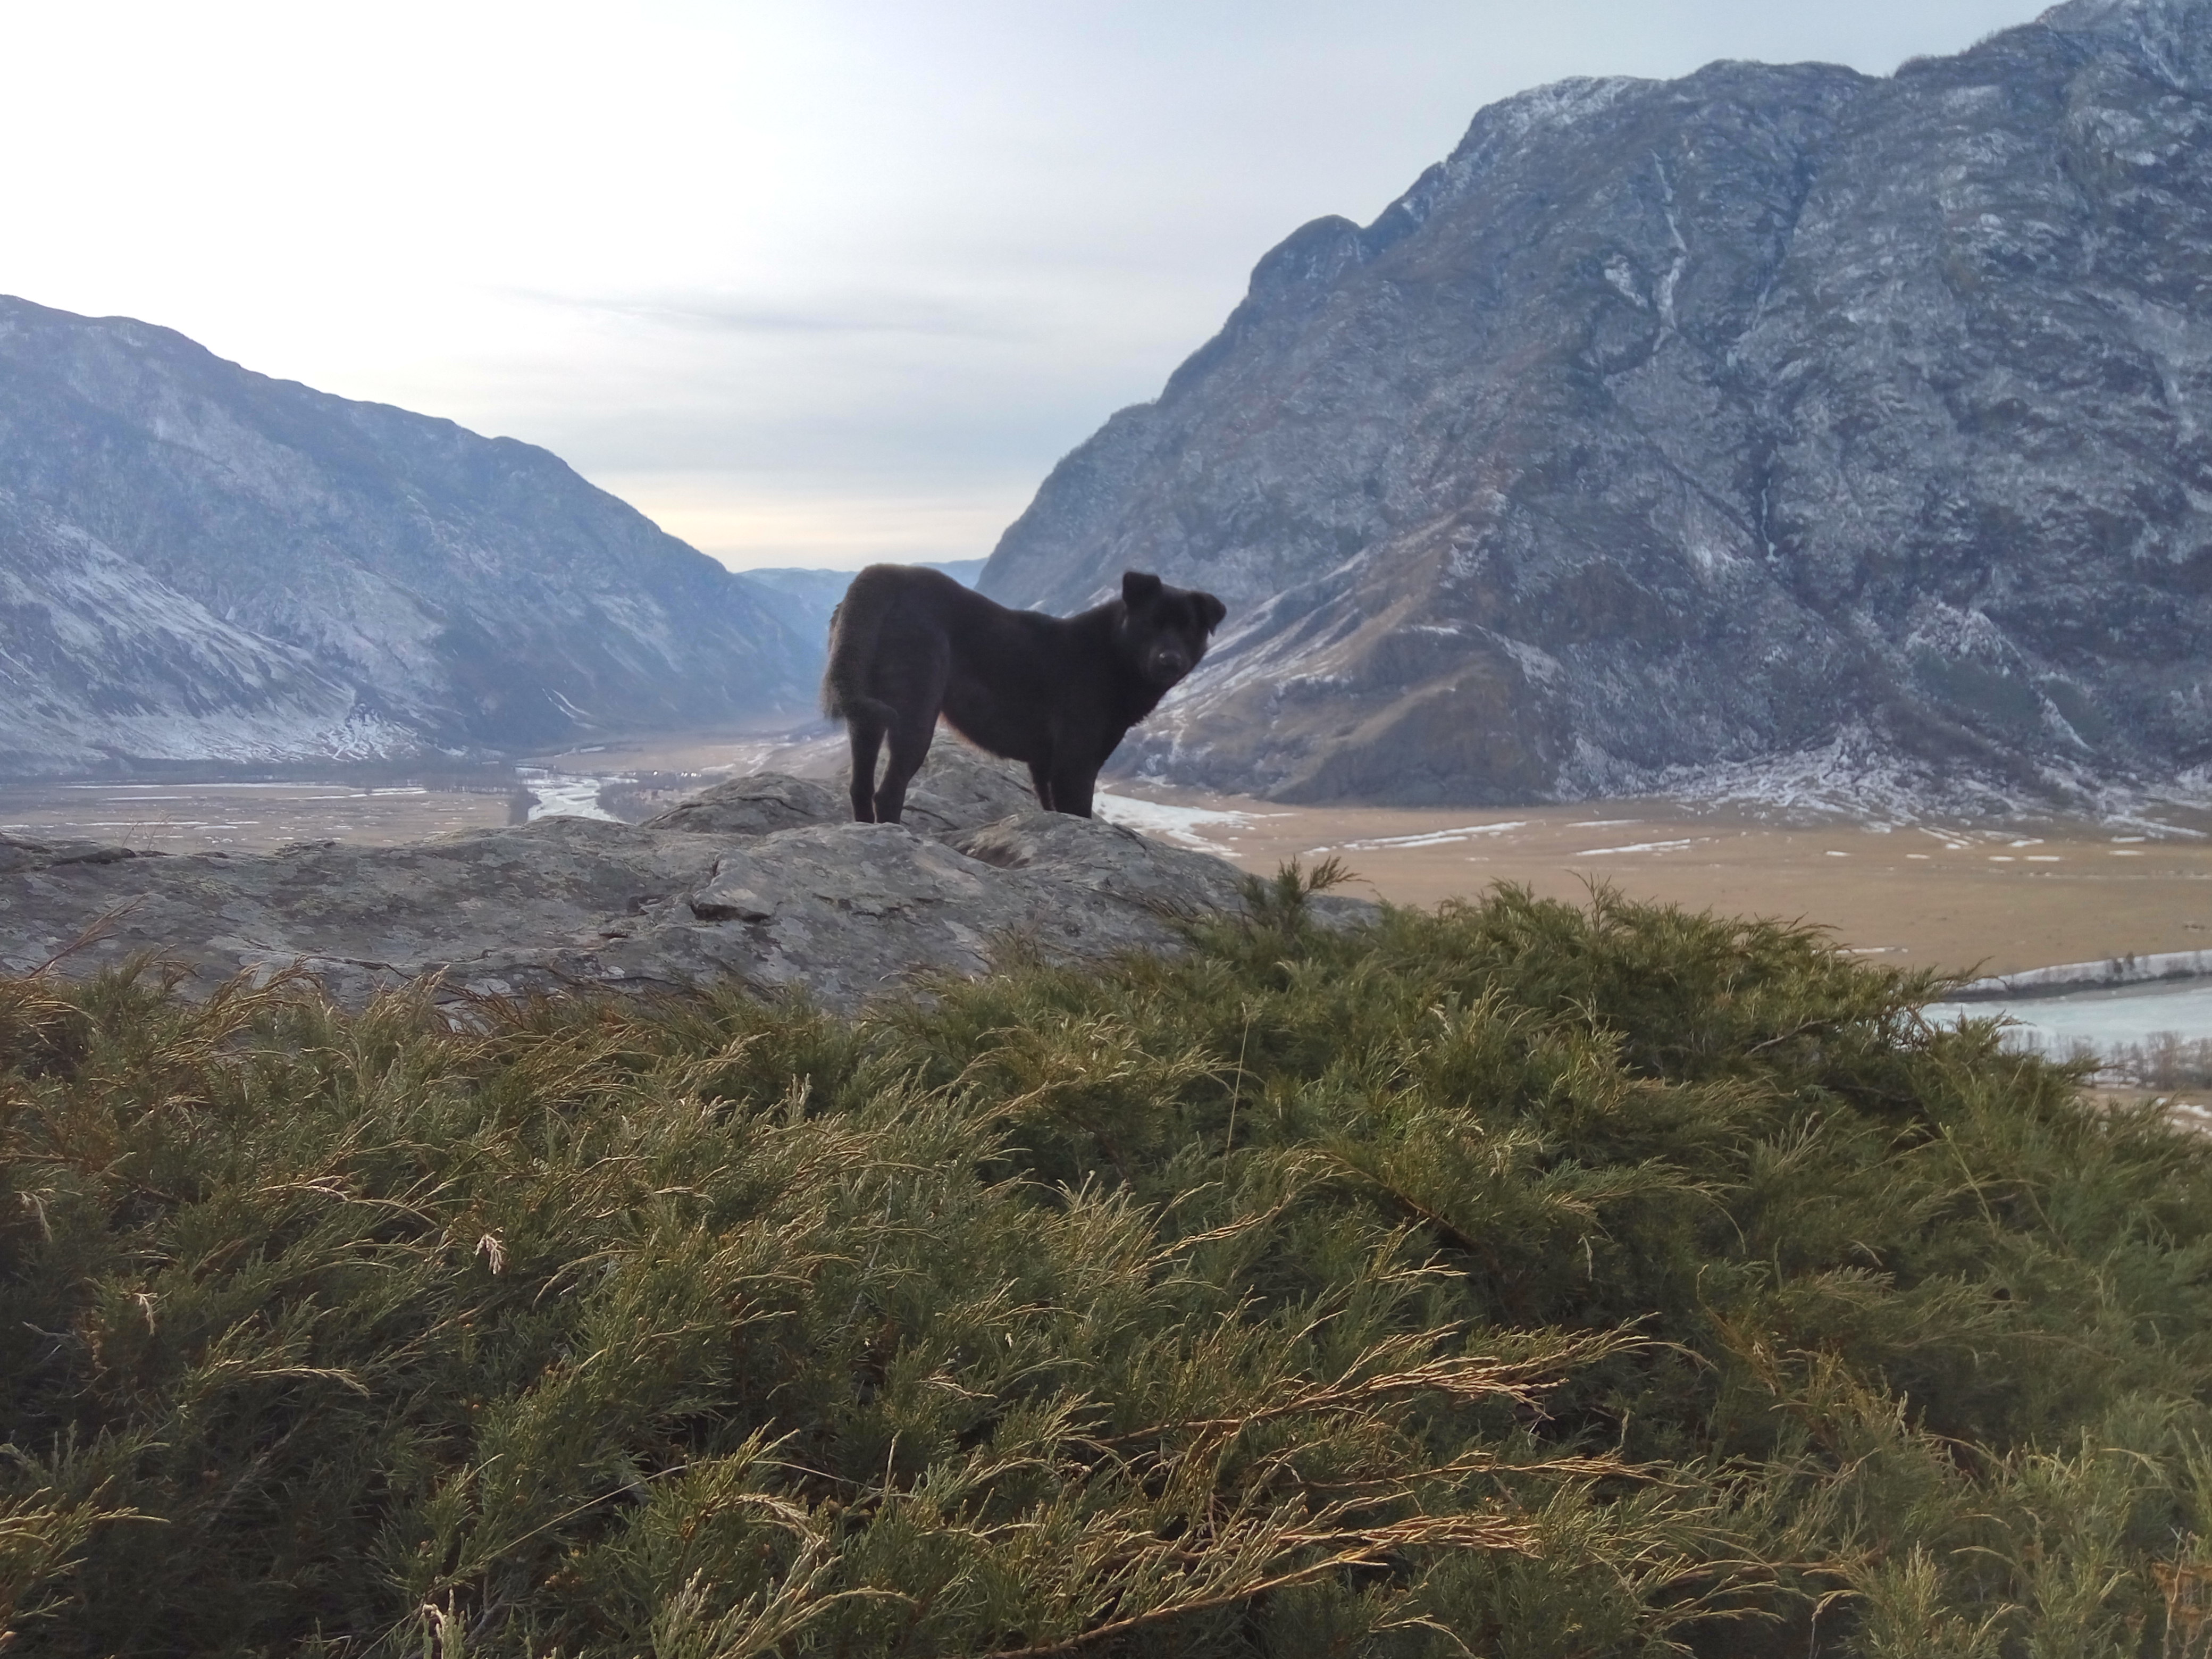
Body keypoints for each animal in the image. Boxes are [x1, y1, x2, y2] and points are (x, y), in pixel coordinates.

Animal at [822, 566, 1226, 823]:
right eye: (1150, 625)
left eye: (1189, 629)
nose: (1170, 661)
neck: (1112, 652)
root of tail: (887, 576)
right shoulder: (1074, 764)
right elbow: (1079, 813)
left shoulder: (1044, 766)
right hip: (915, 718)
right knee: (888, 792)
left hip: (866, 718)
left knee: (860, 787)